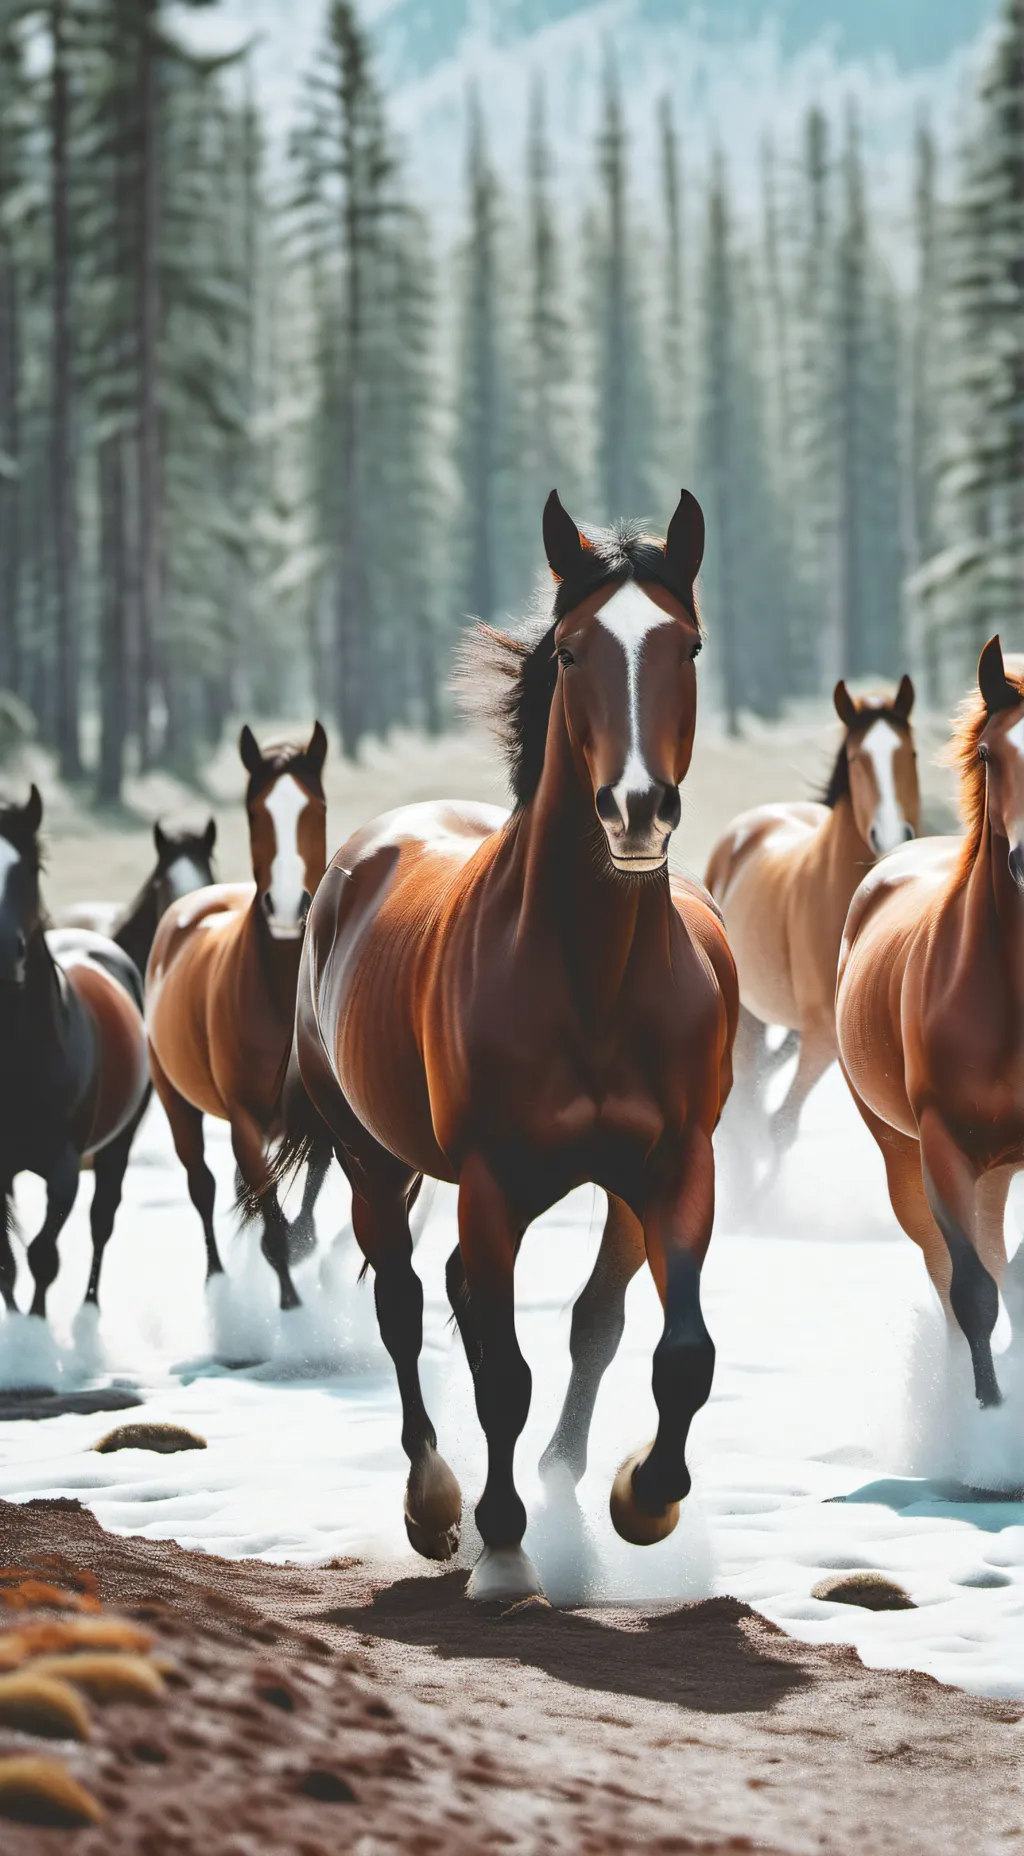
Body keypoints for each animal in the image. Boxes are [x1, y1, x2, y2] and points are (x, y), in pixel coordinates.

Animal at [0, 788, 150, 1319]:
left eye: (31, 867)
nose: (4, 952)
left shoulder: (64, 1169)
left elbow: (43, 1255)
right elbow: (7, 1263)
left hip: (117, 1146)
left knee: (101, 1220)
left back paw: (88, 1312)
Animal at [146, 725, 328, 1310]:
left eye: (316, 806)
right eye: (254, 810)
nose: (288, 908)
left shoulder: (317, 1114)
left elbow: (309, 1187)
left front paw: (301, 1244)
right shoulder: (245, 1121)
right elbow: (267, 1212)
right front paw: (290, 1303)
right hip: (177, 1103)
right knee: (201, 1184)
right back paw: (218, 1281)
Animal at [271, 490, 737, 1605]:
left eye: (688, 643)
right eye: (570, 651)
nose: (636, 809)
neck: (592, 979)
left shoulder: (672, 1170)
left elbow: (670, 1349)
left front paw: (640, 1498)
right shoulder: (488, 1180)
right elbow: (501, 1374)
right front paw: (506, 1547)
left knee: (529, 1312)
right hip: (373, 1160)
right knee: (404, 1306)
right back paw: (437, 1508)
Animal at [704, 677, 919, 1168]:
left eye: (911, 753)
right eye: (857, 759)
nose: (893, 836)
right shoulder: (823, 1036)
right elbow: (781, 1125)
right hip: (750, 1021)